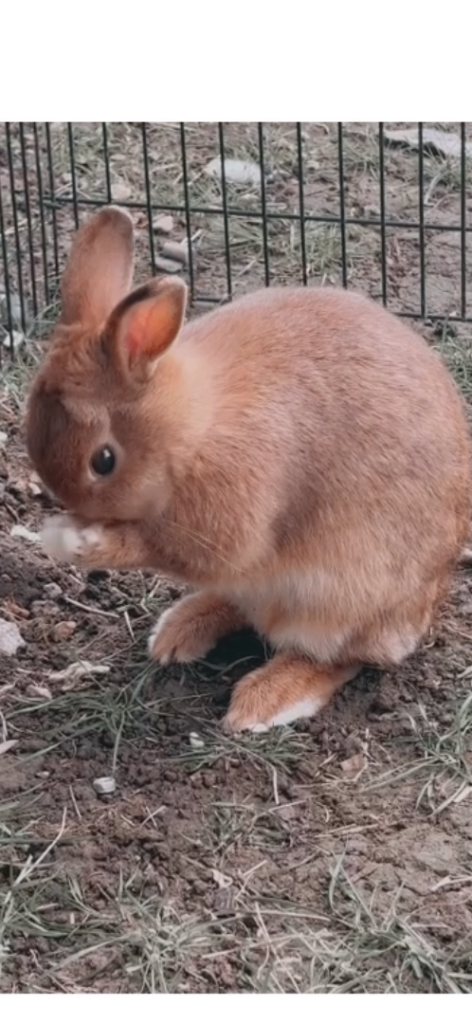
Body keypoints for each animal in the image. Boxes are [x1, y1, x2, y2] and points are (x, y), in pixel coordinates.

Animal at [25, 206, 471, 733]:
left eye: (104, 460)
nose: (71, 509)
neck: (190, 428)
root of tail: (424, 607)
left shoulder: (227, 518)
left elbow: (160, 546)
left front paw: (79, 539)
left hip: (338, 606)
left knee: (339, 658)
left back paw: (266, 699)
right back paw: (179, 630)